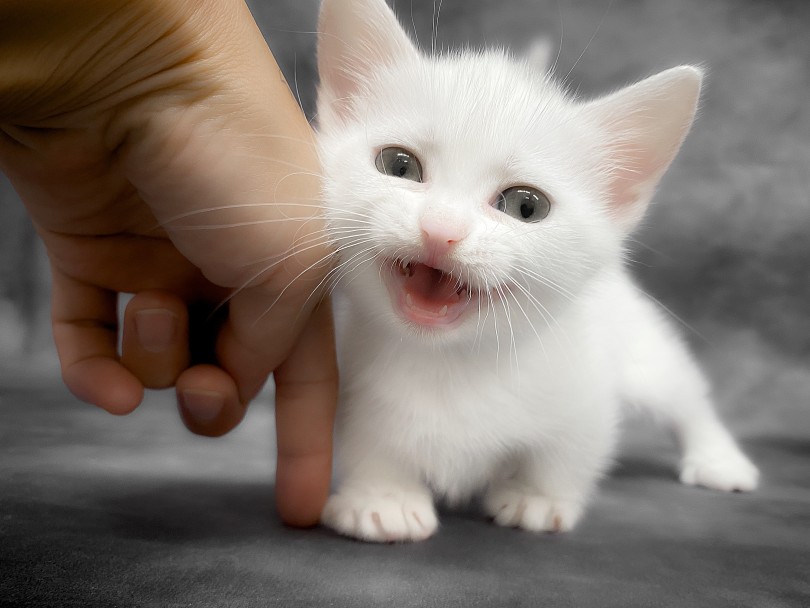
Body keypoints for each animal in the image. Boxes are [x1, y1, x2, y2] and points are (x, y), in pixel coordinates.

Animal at [312, 0, 756, 540]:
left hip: (642, 348)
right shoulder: (357, 384)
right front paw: (382, 498)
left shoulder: (585, 389)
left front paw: (537, 498)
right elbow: (369, 442)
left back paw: (718, 458)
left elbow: (569, 449)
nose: (441, 229)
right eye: (399, 166)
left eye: (526, 206)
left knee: (684, 394)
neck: (455, 362)